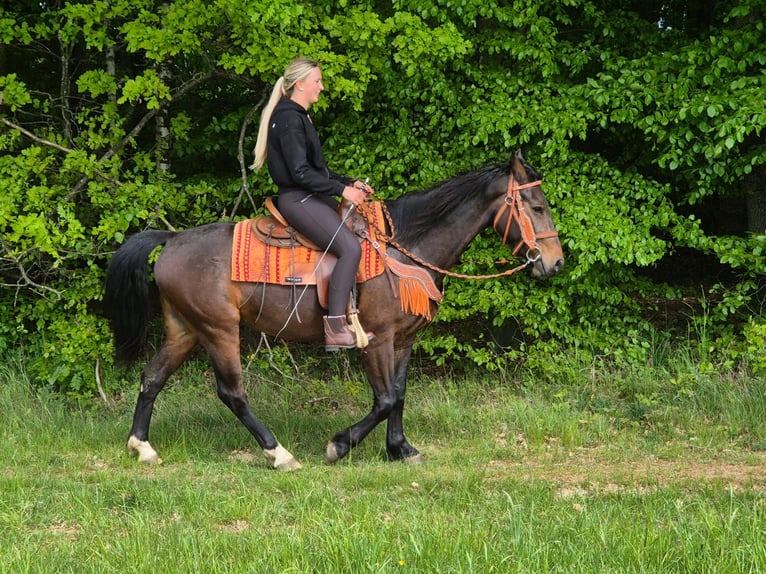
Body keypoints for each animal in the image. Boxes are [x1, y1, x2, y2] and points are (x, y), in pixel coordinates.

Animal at [104, 152, 564, 470]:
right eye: (537, 207)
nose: (556, 262)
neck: (405, 247)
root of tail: (172, 239)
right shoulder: (377, 340)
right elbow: (383, 399)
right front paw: (340, 444)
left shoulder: (403, 341)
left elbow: (399, 395)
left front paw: (400, 449)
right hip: (218, 329)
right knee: (231, 392)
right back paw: (279, 453)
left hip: (185, 328)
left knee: (152, 378)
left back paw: (142, 446)